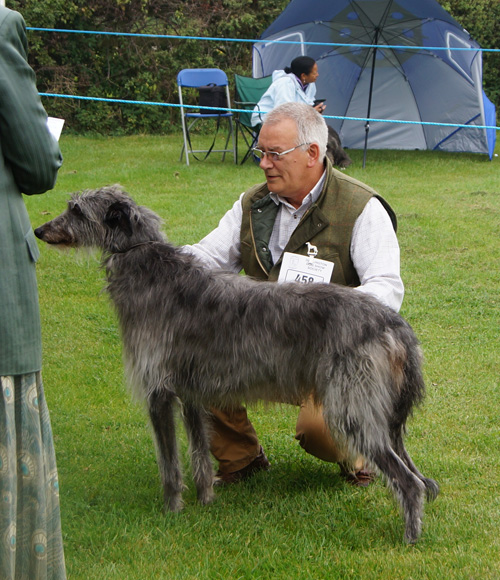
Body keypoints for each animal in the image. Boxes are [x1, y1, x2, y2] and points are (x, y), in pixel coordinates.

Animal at [36, 186, 438, 544]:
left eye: (76, 210)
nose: (40, 230)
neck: (149, 267)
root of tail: (393, 322)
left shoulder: (158, 392)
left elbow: (169, 463)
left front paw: (171, 510)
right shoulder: (191, 394)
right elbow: (198, 454)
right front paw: (205, 501)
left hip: (350, 405)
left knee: (408, 482)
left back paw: (409, 537)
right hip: (380, 412)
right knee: (414, 473)